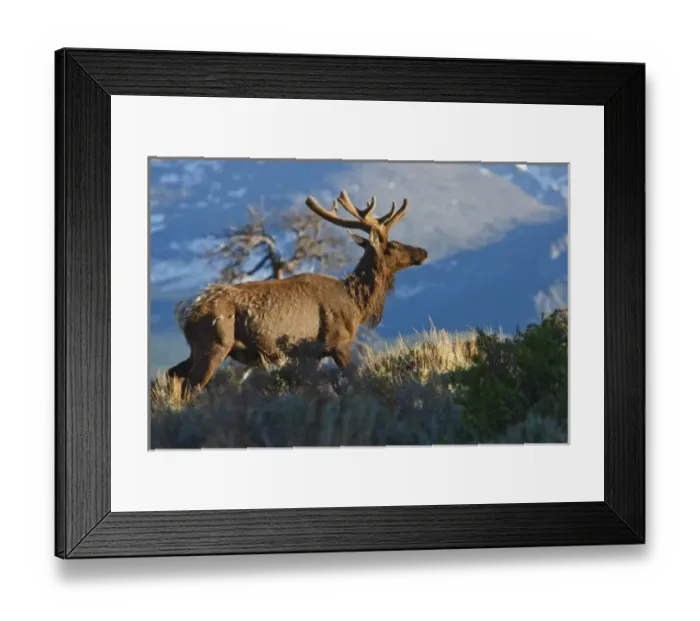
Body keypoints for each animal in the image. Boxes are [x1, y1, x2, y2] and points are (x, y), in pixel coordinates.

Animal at [165, 189, 428, 397]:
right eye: (393, 245)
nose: (423, 252)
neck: (356, 305)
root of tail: (184, 311)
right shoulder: (338, 342)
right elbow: (357, 380)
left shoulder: (311, 354)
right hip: (214, 343)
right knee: (190, 386)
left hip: (197, 347)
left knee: (172, 374)